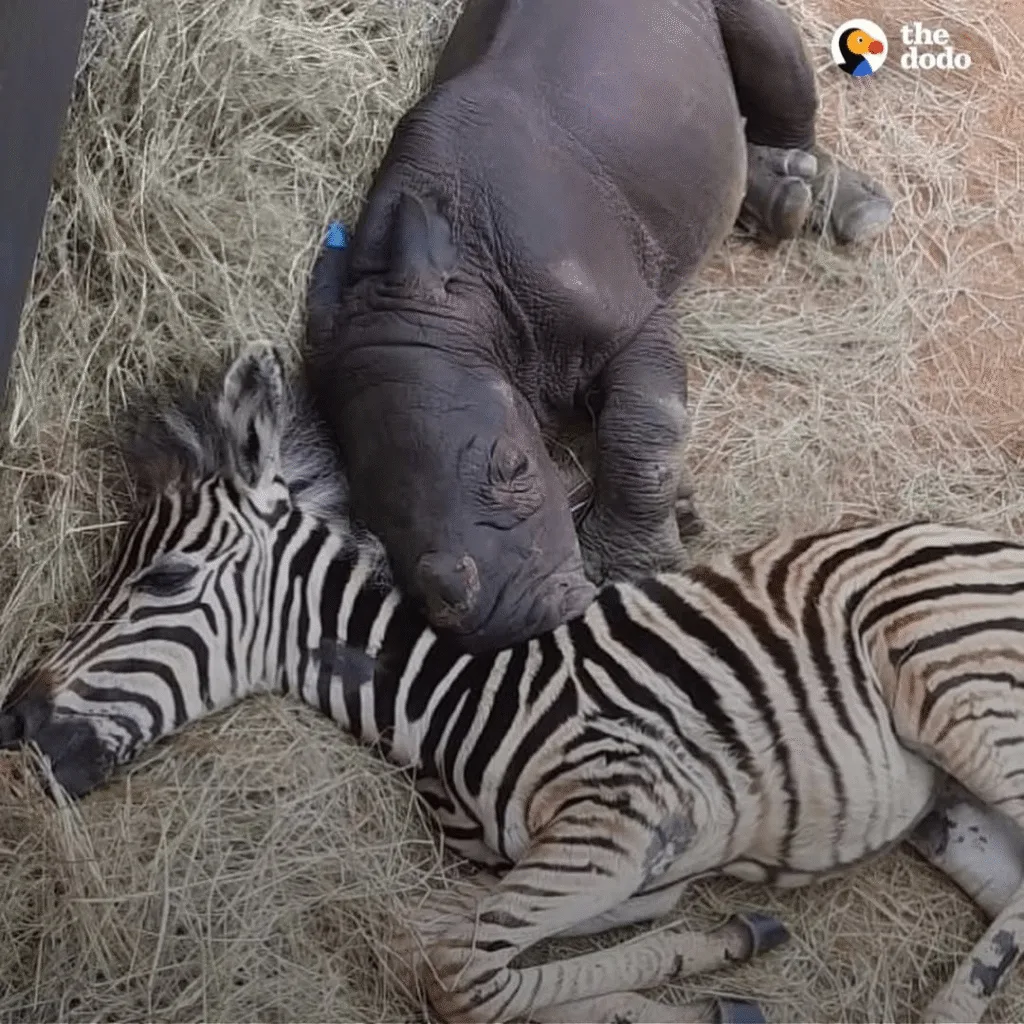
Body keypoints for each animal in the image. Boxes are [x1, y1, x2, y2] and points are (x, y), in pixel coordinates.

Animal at [3, 344, 1024, 1024]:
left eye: (164, 579)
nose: (14, 720)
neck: (452, 702)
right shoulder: (622, 866)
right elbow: (452, 948)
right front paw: (717, 961)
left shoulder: (621, 821)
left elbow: (461, 978)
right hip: (952, 810)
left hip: (959, 690)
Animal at [306, 0, 893, 653]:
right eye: (372, 524)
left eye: (516, 467)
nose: (512, 623)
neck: (462, 302)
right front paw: (680, 514)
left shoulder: (631, 322)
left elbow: (643, 432)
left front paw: (628, 569)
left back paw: (832, 204)